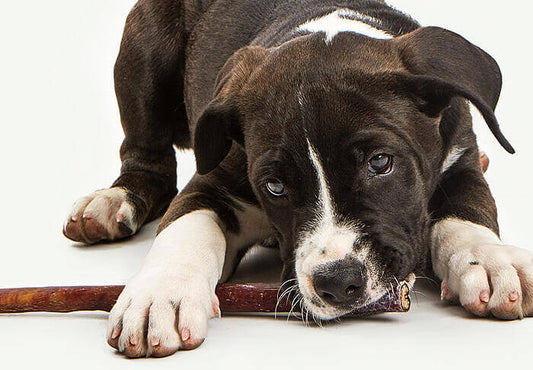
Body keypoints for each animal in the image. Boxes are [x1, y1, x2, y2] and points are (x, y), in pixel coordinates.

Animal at [62, 0, 532, 358]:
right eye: (275, 186)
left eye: (381, 162)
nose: (338, 282)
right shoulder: (211, 181)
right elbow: (185, 229)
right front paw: (159, 295)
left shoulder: (460, 159)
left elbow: (466, 213)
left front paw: (490, 261)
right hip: (144, 53)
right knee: (147, 160)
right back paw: (110, 202)